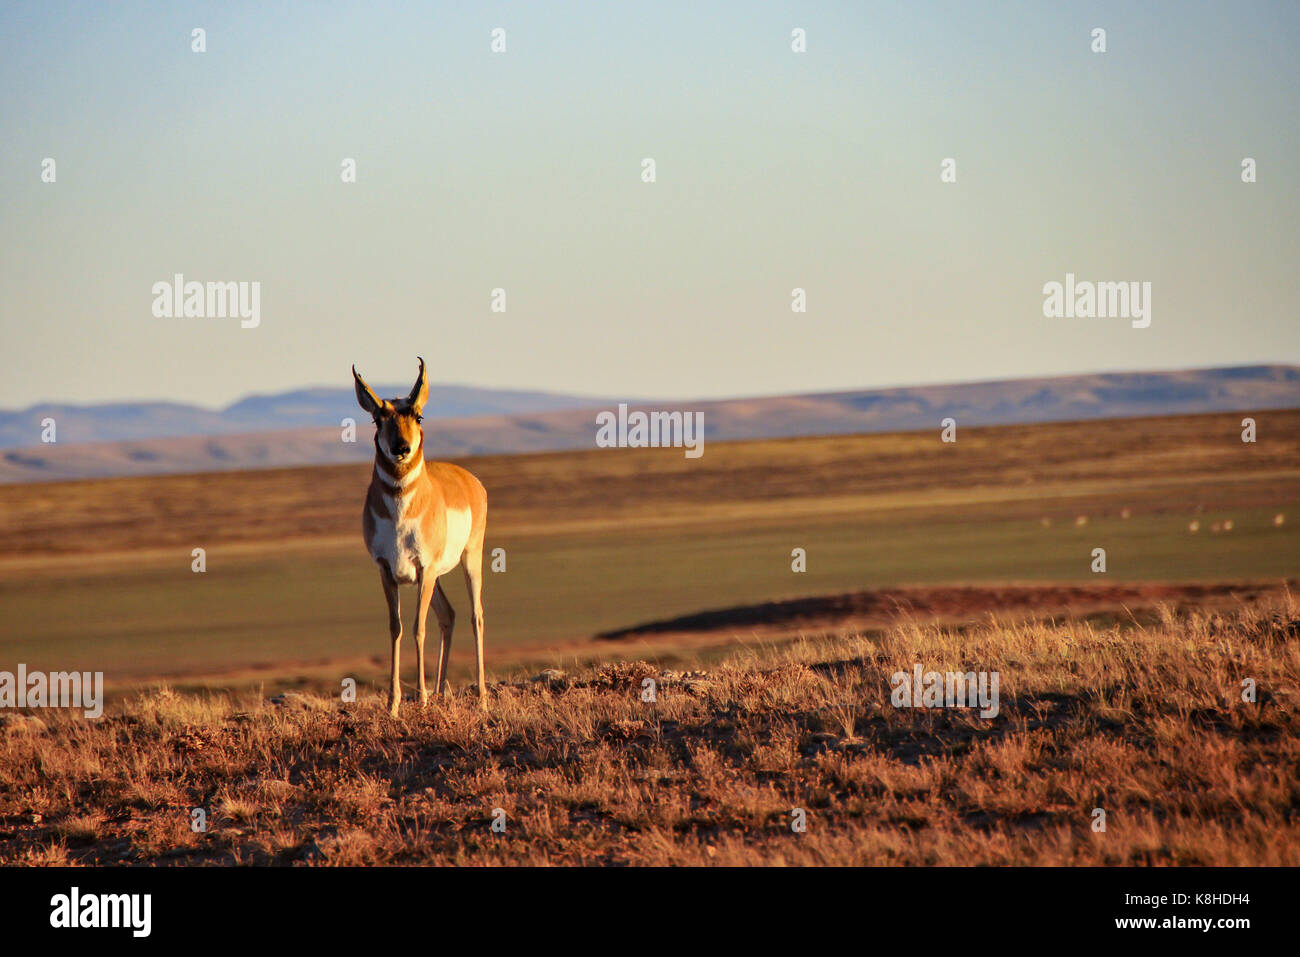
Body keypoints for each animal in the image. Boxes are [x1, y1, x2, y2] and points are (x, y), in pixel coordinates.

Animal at [353, 361, 488, 717]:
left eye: (418, 415)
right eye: (378, 418)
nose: (401, 449)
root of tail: (469, 480)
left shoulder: (424, 569)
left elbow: (418, 627)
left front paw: (422, 698)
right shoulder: (388, 571)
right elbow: (396, 628)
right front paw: (394, 704)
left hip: (469, 559)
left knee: (475, 616)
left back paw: (481, 698)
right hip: (434, 578)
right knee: (449, 615)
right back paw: (441, 692)